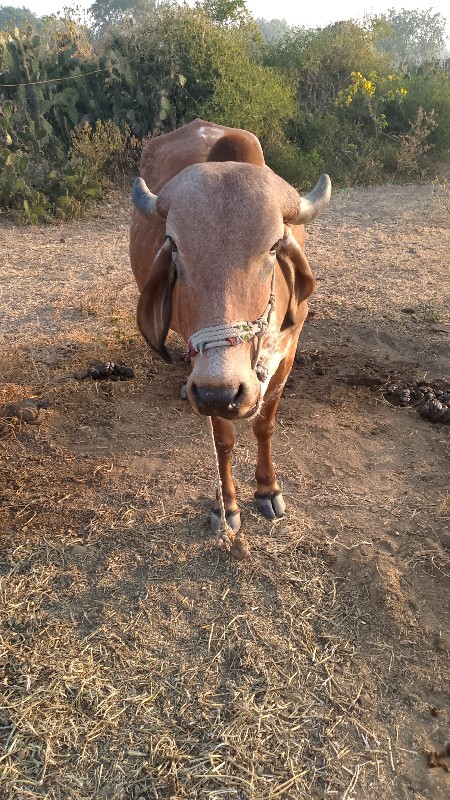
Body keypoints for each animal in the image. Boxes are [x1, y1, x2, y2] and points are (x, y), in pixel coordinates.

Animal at [130, 119, 330, 552]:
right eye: (174, 246)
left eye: (273, 246)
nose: (219, 390)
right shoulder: (210, 385)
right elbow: (223, 439)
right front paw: (229, 506)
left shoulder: (288, 351)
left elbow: (264, 425)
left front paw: (268, 490)